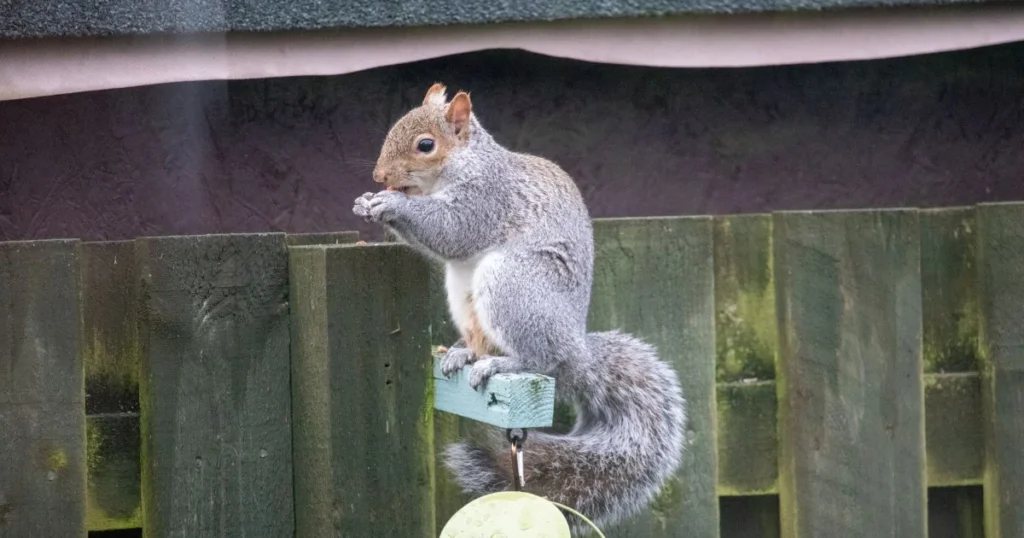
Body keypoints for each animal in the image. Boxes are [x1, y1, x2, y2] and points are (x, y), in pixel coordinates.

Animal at [354, 83, 688, 532]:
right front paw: (367, 201)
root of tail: (577, 353)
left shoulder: (486, 199)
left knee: (540, 360)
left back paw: (504, 363)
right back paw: (464, 353)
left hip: (512, 286)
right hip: (463, 292)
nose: (380, 178)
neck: (462, 166)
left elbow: (453, 230)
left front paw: (392, 206)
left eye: (426, 145)